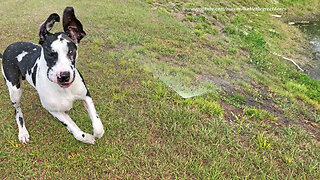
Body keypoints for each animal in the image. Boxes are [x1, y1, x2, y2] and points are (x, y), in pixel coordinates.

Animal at [0, 7, 104, 145]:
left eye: (71, 51)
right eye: (50, 54)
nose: (64, 76)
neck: (65, 90)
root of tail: (8, 48)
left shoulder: (86, 96)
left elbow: (98, 126)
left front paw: (96, 133)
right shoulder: (54, 110)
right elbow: (75, 131)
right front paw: (86, 138)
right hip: (14, 91)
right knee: (17, 111)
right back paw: (22, 132)